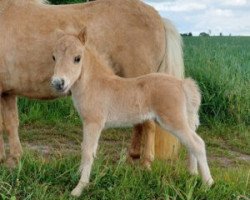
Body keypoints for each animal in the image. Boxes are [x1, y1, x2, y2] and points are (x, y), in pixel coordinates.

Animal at [0, 0, 184, 166]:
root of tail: (159, 18)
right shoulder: (7, 93)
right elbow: (10, 123)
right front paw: (12, 157)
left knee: (149, 124)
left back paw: (145, 163)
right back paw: (132, 157)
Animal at [51, 31, 214, 197]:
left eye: (77, 58)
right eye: (54, 57)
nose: (58, 83)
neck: (95, 84)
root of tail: (181, 84)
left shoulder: (93, 123)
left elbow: (88, 151)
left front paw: (79, 188)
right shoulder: (87, 123)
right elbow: (84, 148)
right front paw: (78, 175)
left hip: (174, 121)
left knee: (197, 143)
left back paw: (207, 184)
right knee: (191, 143)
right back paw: (192, 174)